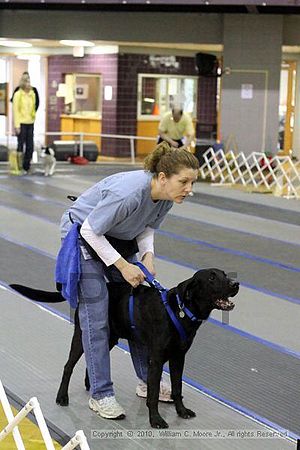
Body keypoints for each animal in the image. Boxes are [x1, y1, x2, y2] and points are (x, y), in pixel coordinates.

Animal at [10, 268, 239, 428]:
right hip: (82, 334)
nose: (236, 283)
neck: (181, 312)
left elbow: (178, 389)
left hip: (109, 337)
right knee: (69, 366)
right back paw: (62, 397)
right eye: (211, 278)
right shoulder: (156, 360)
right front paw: (155, 420)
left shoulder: (178, 358)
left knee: (93, 357)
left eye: (224, 274)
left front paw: (181, 411)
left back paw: (91, 386)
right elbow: (153, 394)